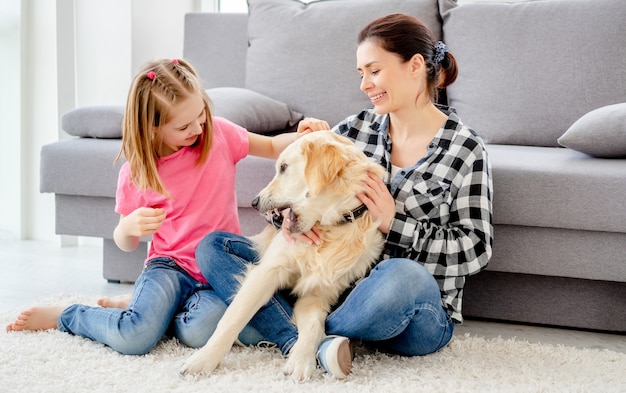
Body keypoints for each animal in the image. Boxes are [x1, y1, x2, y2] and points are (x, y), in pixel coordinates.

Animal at [180, 131, 382, 380]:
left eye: (284, 167)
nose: (255, 202)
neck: (331, 229)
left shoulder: (316, 293)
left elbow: (314, 327)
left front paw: (301, 361)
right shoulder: (266, 272)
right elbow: (233, 318)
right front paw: (204, 360)